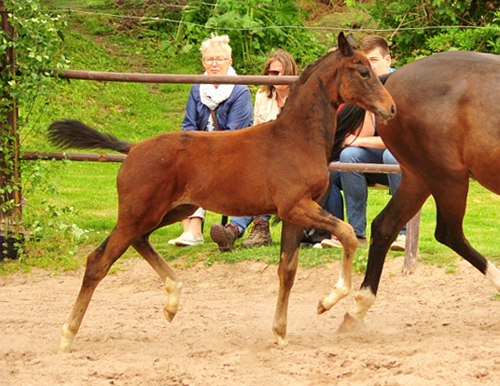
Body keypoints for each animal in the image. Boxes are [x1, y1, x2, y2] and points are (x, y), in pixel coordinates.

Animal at [48, 33, 396, 352]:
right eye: (362, 71)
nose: (391, 108)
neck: (296, 138)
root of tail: (132, 149)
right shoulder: (297, 206)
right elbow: (347, 233)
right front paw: (328, 300)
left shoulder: (293, 213)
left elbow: (287, 270)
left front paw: (280, 332)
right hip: (139, 213)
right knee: (99, 260)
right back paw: (67, 335)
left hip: (170, 211)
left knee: (139, 241)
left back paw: (172, 300)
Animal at [336, 50, 500, 328]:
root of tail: (392, 80)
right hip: (447, 177)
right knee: (449, 233)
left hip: (418, 178)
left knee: (385, 226)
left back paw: (357, 309)